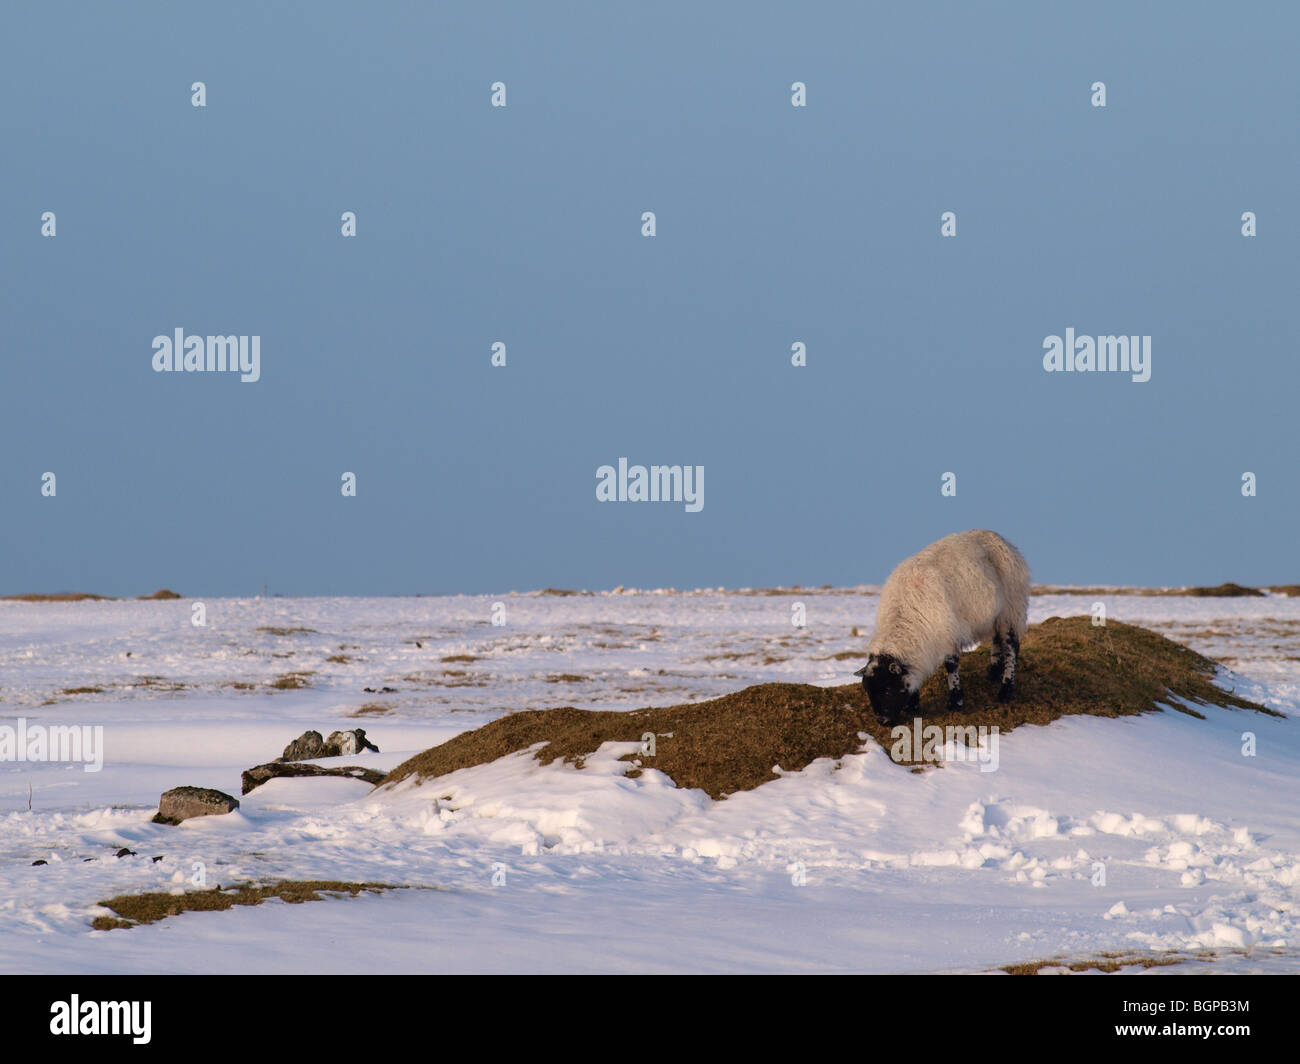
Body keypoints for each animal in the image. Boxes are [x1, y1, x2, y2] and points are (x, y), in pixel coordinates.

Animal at [857, 528, 1029, 723]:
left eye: (887, 689)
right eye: (868, 690)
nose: (882, 721)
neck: (904, 614)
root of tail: (1000, 538)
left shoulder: (948, 635)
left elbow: (951, 665)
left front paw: (955, 702)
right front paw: (912, 705)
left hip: (1011, 609)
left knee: (1011, 647)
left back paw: (1005, 690)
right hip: (997, 616)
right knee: (997, 639)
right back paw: (993, 672)